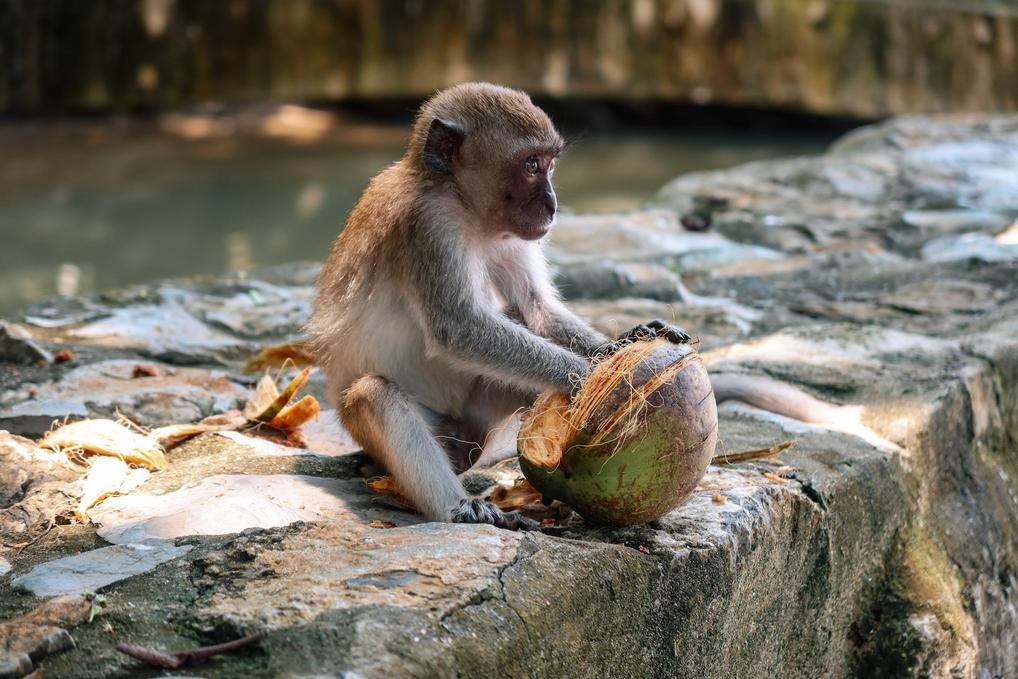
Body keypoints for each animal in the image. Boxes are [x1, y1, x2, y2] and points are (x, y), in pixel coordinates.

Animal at [307, 83, 867, 529]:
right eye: (532, 166)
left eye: (549, 165)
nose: (553, 205)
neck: (460, 204)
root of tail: (471, 444)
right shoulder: (428, 226)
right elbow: (459, 328)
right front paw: (588, 378)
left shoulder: (509, 234)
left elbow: (537, 310)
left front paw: (622, 344)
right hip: (414, 429)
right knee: (373, 397)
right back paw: (455, 505)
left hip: (483, 418)